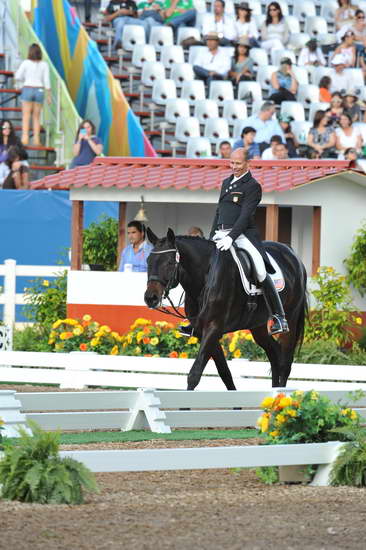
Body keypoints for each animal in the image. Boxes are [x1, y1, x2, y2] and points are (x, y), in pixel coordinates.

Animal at [144, 231, 308, 390]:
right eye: (148, 262)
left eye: (170, 262)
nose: (150, 298)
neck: (206, 275)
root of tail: (292, 254)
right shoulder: (204, 331)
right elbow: (224, 372)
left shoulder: (213, 328)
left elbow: (195, 374)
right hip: (258, 327)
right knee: (274, 354)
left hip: (291, 319)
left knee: (285, 363)